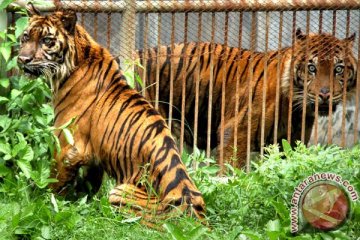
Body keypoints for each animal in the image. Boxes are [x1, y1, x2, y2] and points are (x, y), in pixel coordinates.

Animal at [16, 4, 205, 221]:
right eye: (25, 37)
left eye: (47, 41)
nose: (22, 59)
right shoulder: (93, 153)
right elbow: (89, 184)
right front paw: (81, 202)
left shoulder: (67, 146)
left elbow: (54, 182)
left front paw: (45, 202)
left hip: (120, 191)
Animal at [136, 29, 358, 167]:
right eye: (312, 68)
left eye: (338, 69)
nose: (325, 94)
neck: (294, 108)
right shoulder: (236, 131)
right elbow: (230, 170)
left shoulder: (292, 141)